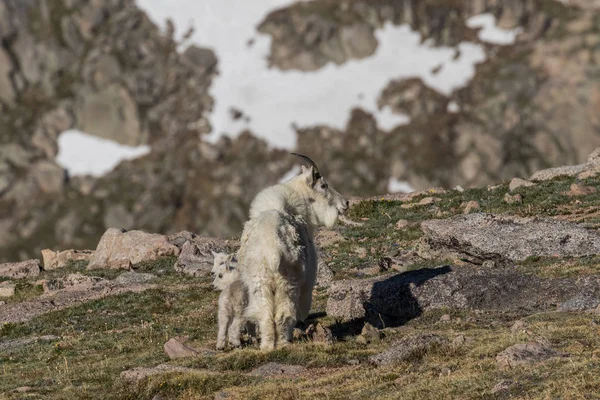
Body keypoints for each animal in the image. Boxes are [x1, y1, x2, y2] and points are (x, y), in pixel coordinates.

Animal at [238, 153, 350, 350]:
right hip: (288, 282)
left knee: (265, 314)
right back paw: (284, 343)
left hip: (259, 281)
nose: (346, 203)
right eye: (323, 185)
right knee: (283, 312)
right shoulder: (309, 275)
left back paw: (267, 347)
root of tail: (272, 252)